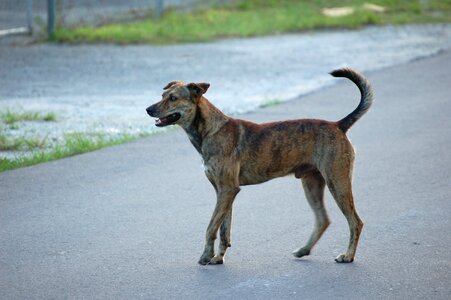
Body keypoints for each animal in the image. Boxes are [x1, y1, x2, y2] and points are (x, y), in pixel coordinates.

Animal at [147, 68, 372, 264]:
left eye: (173, 98)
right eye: (162, 95)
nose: (148, 109)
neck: (210, 130)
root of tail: (338, 125)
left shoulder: (227, 190)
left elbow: (211, 227)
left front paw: (205, 256)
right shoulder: (224, 192)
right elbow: (224, 229)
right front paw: (218, 258)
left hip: (337, 182)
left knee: (355, 222)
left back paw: (348, 256)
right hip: (312, 184)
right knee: (323, 220)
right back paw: (304, 250)